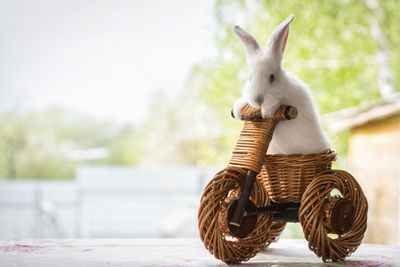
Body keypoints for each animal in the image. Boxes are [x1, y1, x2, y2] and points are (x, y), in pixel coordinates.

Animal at [233, 15, 330, 155]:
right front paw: (237, 111)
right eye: (249, 78)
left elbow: (276, 104)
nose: (258, 100)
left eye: (272, 77)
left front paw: (267, 113)